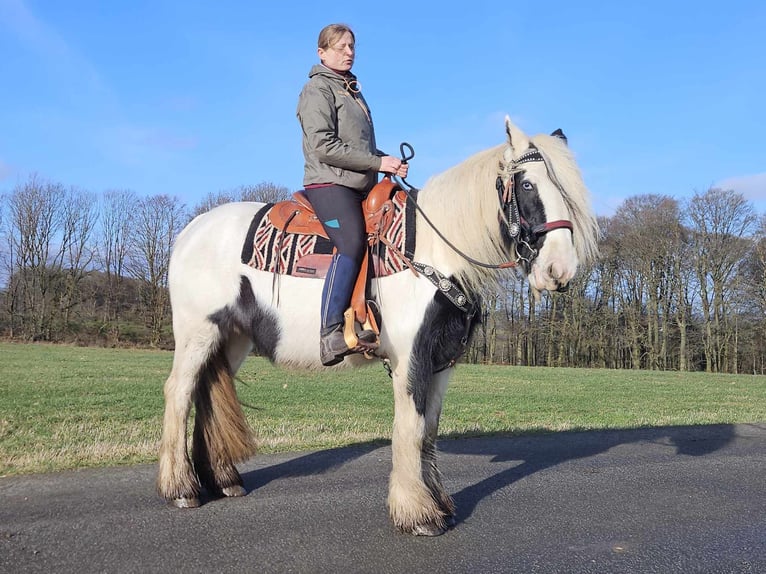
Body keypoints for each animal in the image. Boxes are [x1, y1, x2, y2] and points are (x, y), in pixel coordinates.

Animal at [158, 115, 600, 536]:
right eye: (526, 184)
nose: (560, 270)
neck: (432, 253)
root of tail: (190, 230)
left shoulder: (441, 362)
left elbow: (429, 430)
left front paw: (438, 506)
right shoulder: (410, 358)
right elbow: (410, 428)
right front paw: (417, 514)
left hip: (232, 338)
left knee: (207, 392)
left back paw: (222, 480)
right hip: (199, 332)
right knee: (179, 392)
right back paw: (181, 489)